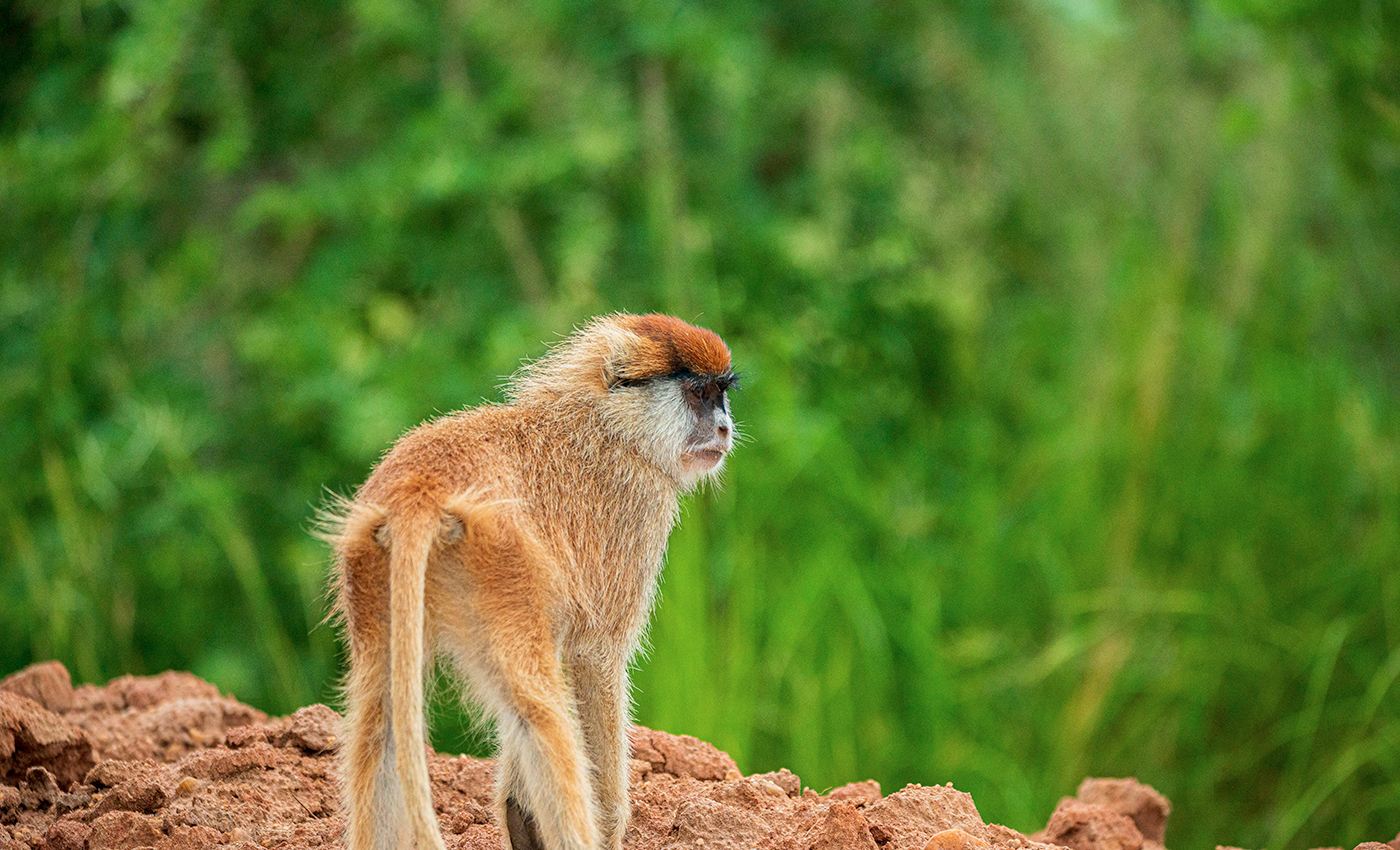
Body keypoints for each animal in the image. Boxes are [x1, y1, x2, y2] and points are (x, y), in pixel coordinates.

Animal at [321, 313, 738, 850]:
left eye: (721, 394)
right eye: (700, 394)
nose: (724, 428)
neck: (611, 422)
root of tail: (420, 492)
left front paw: (519, 812)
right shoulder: (640, 504)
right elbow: (594, 657)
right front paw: (610, 823)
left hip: (371, 563)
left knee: (382, 727)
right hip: (501, 566)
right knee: (539, 715)